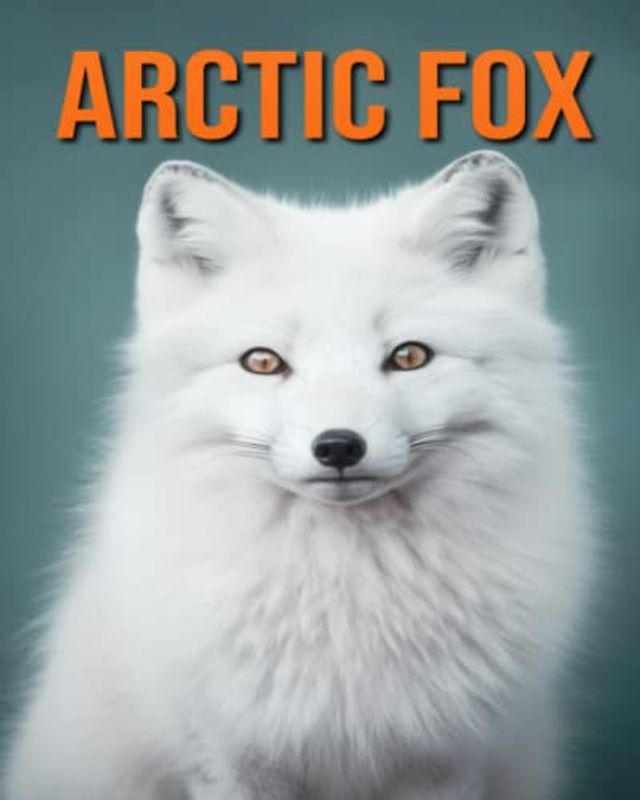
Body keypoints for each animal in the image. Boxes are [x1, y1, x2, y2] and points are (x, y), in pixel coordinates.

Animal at [5, 151, 592, 800]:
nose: (338, 446)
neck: (348, 594)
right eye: (263, 362)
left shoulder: (442, 759)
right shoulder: (228, 755)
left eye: (409, 356)